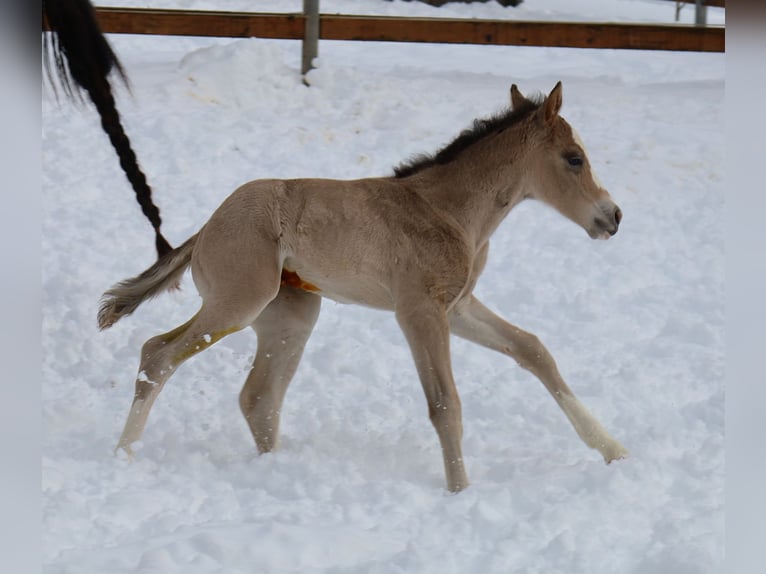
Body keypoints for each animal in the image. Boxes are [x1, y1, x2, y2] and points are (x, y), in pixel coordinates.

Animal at [98, 82, 628, 492]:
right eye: (574, 159)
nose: (613, 217)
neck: (449, 212)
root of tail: (207, 227)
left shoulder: (456, 307)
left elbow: (533, 350)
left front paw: (613, 450)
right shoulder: (418, 311)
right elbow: (445, 403)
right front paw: (460, 491)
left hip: (291, 316)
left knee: (258, 397)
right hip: (239, 303)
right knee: (158, 355)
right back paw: (124, 455)